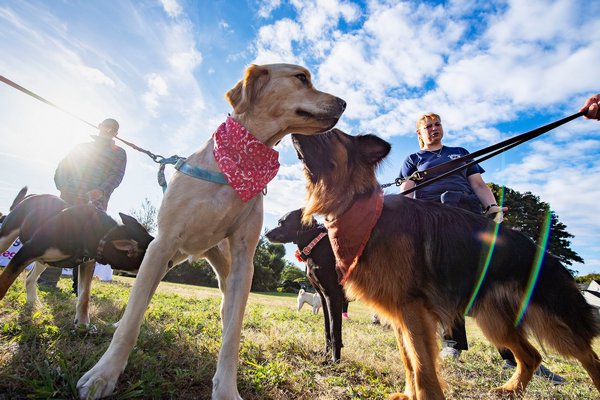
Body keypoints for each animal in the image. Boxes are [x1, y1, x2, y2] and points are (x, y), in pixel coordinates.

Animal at [0, 188, 152, 324]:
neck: (102, 234)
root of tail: (32, 195)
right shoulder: (27, 251)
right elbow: (5, 282)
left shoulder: (87, 263)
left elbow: (85, 295)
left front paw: (82, 322)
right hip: (6, 238)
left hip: (43, 261)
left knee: (29, 278)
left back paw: (33, 303)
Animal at [264, 209, 344, 362]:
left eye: (282, 222)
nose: (266, 234)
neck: (315, 243)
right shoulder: (324, 298)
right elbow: (327, 329)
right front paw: (325, 354)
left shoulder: (333, 296)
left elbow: (334, 331)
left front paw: (334, 361)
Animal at [292, 129, 600, 400]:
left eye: (330, 134)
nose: (295, 130)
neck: (360, 210)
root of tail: (543, 253)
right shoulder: (399, 311)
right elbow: (409, 360)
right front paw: (409, 394)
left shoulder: (412, 309)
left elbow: (421, 364)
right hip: (494, 321)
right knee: (531, 356)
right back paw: (512, 389)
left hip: (551, 323)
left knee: (588, 356)